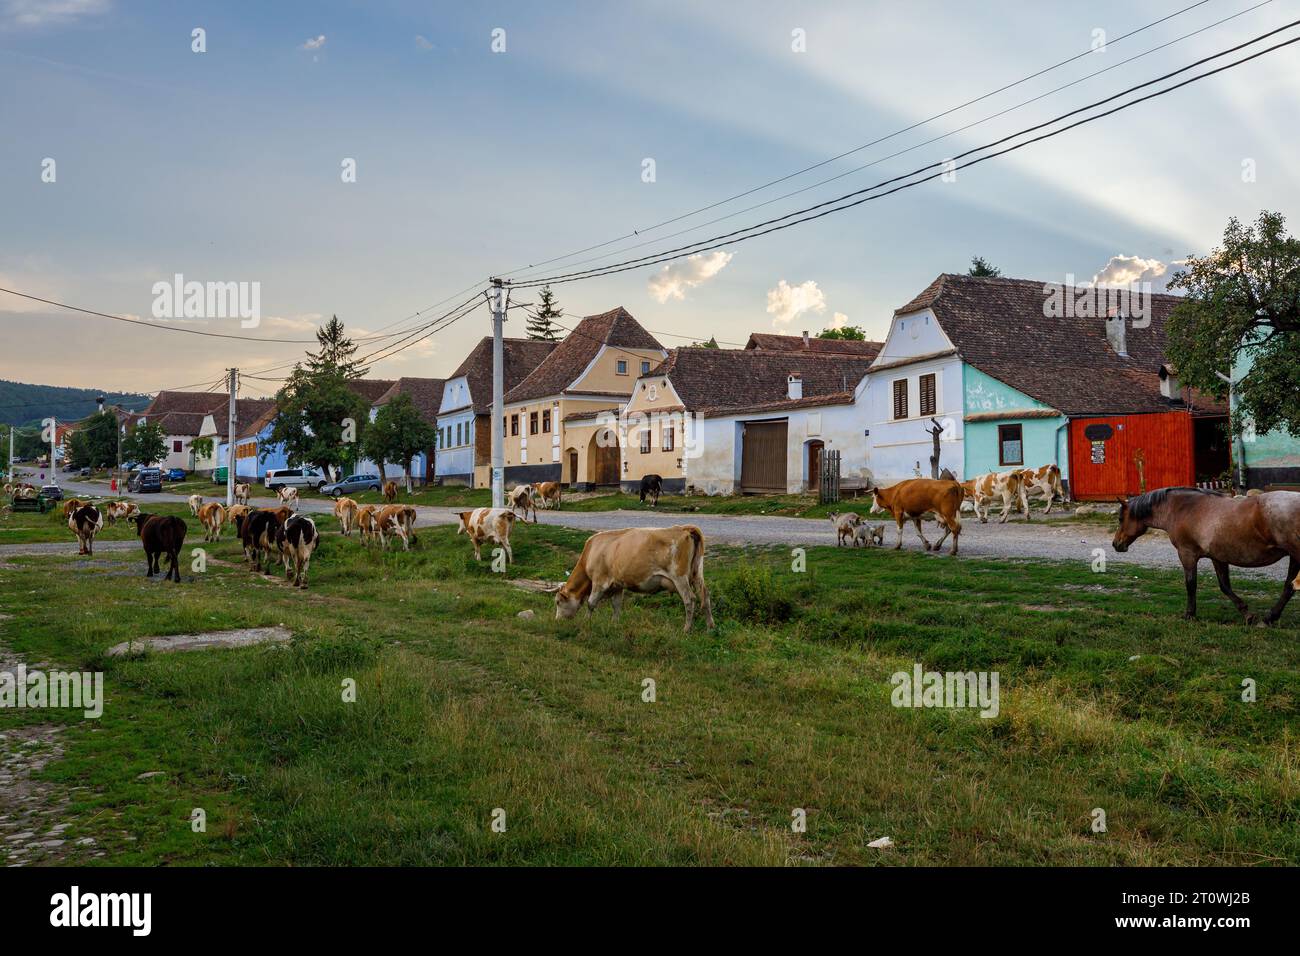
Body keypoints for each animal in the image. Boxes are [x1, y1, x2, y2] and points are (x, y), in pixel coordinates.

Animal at [553, 528, 717, 632]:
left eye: (558, 602)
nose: (557, 620)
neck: (592, 551)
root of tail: (684, 529)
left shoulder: (599, 581)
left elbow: (591, 603)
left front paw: (586, 622)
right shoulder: (617, 585)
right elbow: (616, 605)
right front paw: (614, 624)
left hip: (679, 577)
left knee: (689, 599)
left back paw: (687, 629)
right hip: (697, 574)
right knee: (705, 597)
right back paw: (710, 627)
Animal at [1107, 489, 1300, 624]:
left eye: (1120, 519)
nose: (1116, 544)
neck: (1184, 509)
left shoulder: (1187, 554)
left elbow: (1191, 584)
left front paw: (1190, 614)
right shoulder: (1218, 557)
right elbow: (1225, 586)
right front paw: (1247, 614)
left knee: (1289, 587)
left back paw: (1270, 618)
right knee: (1289, 587)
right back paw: (1270, 618)